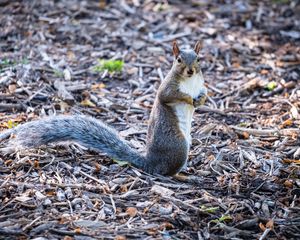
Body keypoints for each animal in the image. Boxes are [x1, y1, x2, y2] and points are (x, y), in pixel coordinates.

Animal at [0, 40, 206, 176]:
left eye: (198, 59)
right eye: (178, 59)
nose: (190, 70)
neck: (190, 81)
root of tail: (150, 162)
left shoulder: (201, 84)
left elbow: (204, 92)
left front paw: (201, 100)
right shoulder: (167, 88)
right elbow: (169, 96)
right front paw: (189, 99)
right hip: (178, 146)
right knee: (164, 173)